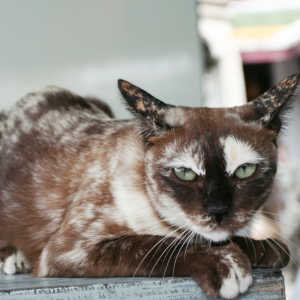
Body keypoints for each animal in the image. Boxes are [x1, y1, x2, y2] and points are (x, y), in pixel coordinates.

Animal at [0, 74, 298, 298]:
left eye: (244, 171)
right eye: (185, 174)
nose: (218, 210)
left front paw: (261, 250)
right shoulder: (71, 250)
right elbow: (153, 244)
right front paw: (226, 263)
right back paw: (14, 258)